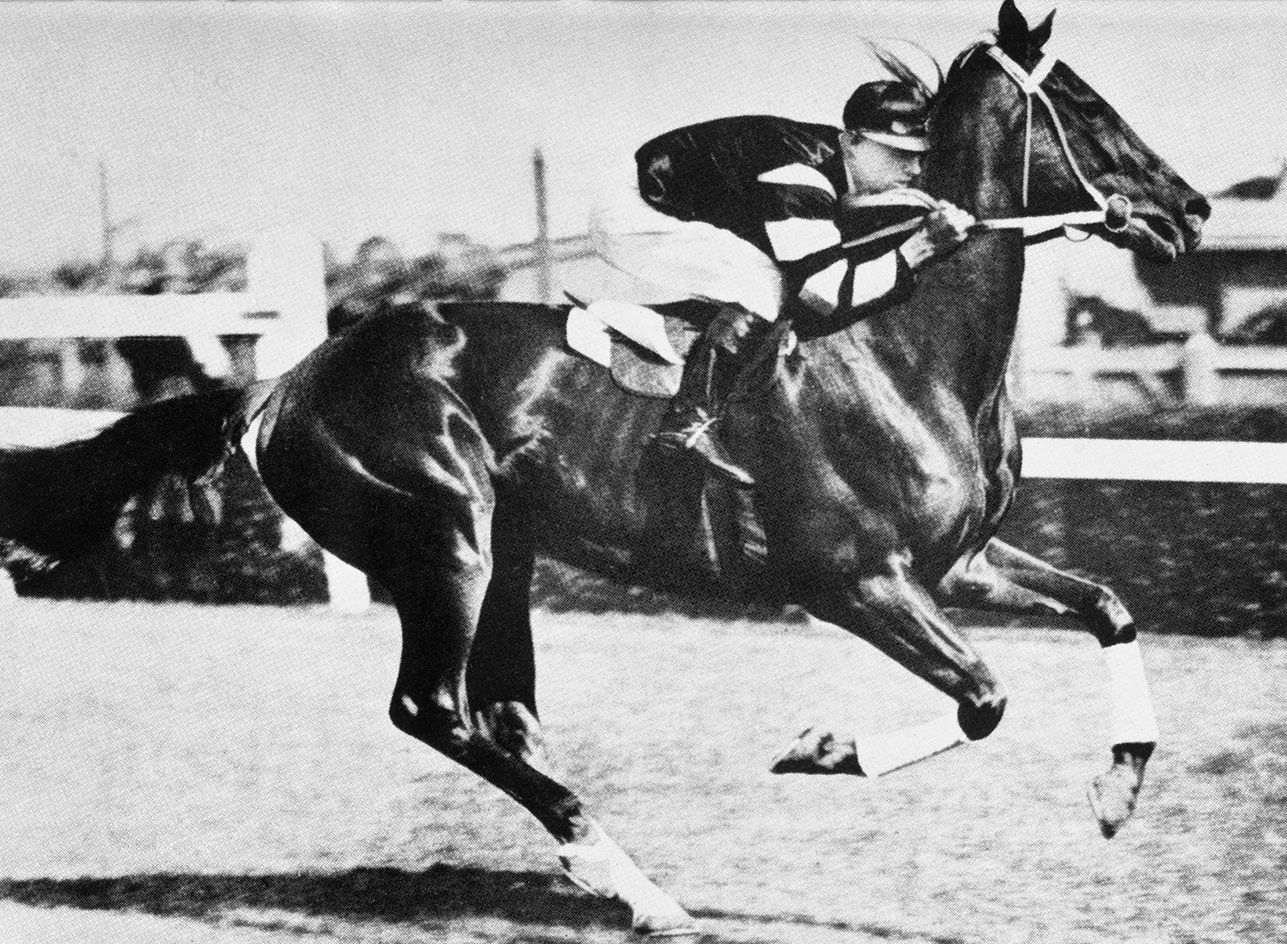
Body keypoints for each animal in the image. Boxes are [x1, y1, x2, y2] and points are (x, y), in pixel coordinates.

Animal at [0, 3, 1204, 937]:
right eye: (1084, 106)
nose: (1188, 210)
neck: (909, 349)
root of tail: (280, 384)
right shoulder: (854, 580)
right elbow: (987, 698)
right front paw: (822, 746)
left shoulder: (956, 562)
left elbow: (1108, 603)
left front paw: (1116, 786)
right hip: (444, 536)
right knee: (432, 708)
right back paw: (636, 883)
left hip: (506, 550)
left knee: (503, 712)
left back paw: (611, 874)